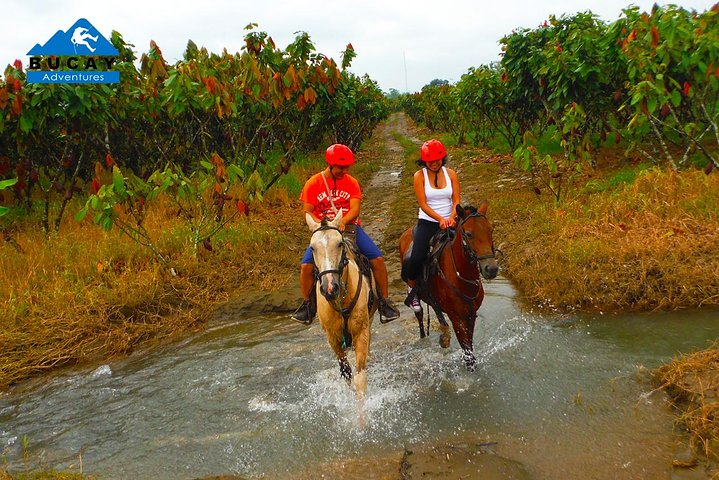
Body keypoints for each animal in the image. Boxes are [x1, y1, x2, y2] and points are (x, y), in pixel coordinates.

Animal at [306, 211, 380, 402]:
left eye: (339, 244)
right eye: (312, 248)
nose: (330, 287)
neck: (341, 300)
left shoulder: (361, 332)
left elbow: (360, 379)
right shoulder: (333, 338)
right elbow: (346, 373)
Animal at [396, 201, 498, 370]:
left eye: (491, 230)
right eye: (468, 233)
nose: (491, 269)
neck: (462, 277)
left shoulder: (471, 315)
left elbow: (469, 347)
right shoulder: (456, 318)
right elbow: (468, 355)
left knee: (435, 309)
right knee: (419, 315)